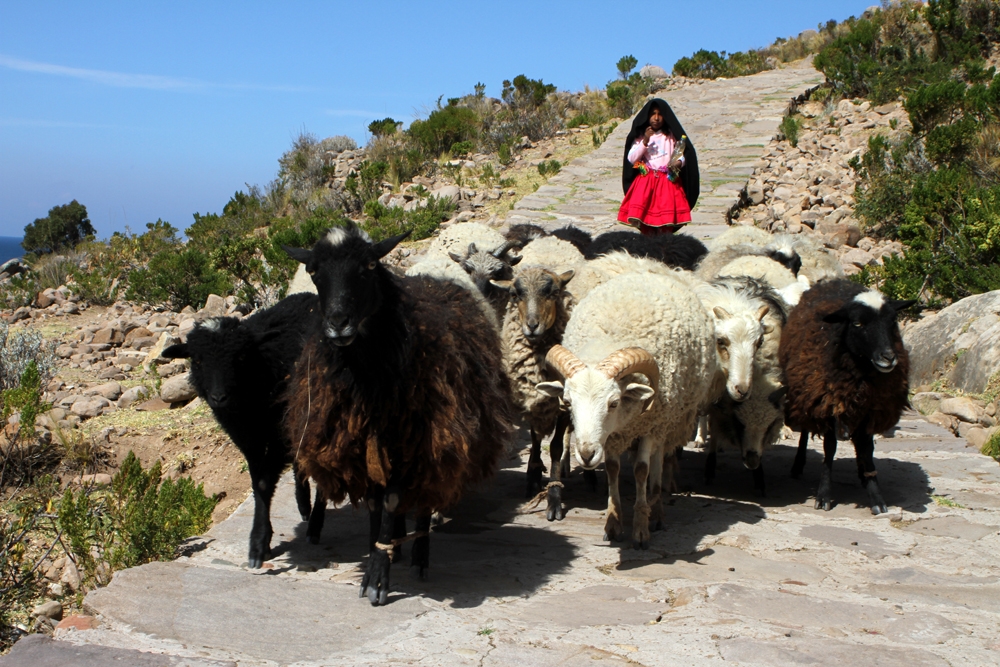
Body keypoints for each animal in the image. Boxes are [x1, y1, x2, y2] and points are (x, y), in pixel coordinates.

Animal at [161, 294, 324, 568]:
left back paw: (315, 525)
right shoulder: (248, 439)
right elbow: (257, 484)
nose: (218, 397)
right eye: (197, 360)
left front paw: (258, 544)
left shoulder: (276, 435)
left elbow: (264, 483)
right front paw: (263, 541)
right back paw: (304, 507)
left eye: (240, 357)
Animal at [282, 224, 516, 604]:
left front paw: (378, 577)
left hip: (437, 439)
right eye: (314, 271)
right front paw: (377, 553)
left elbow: (391, 502)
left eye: (368, 266)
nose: (337, 323)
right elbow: (376, 505)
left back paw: (419, 556)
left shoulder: (409, 443)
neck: (367, 375)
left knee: (425, 495)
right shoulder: (362, 445)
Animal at [536, 272, 724, 548]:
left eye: (614, 403)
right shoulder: (613, 435)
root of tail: (648, 272)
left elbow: (641, 470)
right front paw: (613, 523)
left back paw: (656, 511)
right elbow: (613, 469)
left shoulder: (648, 424)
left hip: (665, 419)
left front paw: (641, 529)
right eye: (568, 402)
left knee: (658, 458)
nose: (586, 454)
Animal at [780, 280, 916, 516]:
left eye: (892, 321)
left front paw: (875, 495)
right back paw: (797, 466)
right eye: (857, 323)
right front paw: (823, 496)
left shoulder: (870, 410)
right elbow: (829, 449)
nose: (888, 358)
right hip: (807, 395)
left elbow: (867, 450)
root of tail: (834, 281)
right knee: (805, 431)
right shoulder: (827, 405)